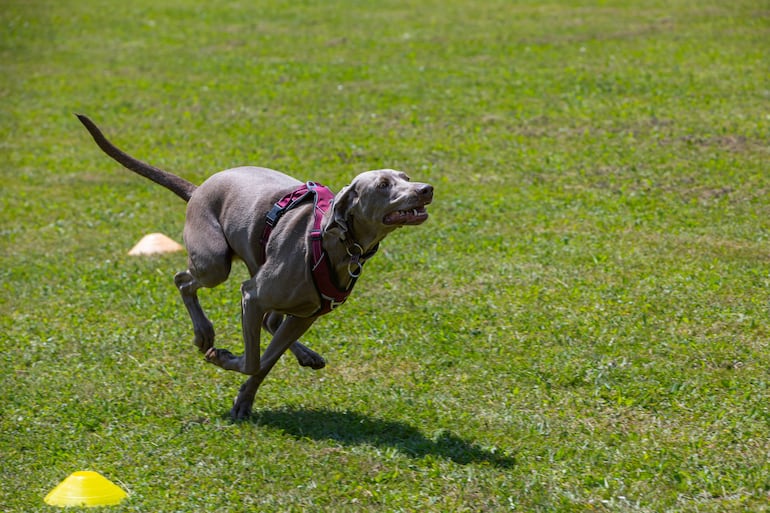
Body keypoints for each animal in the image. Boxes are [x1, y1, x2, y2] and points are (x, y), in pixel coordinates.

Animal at [77, 114, 432, 418]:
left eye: (406, 178)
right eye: (383, 184)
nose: (426, 189)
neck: (337, 243)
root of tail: (198, 189)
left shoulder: (305, 316)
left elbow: (264, 361)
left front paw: (244, 400)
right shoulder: (251, 295)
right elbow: (251, 361)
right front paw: (222, 357)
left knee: (270, 321)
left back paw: (305, 354)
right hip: (214, 262)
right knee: (183, 279)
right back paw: (204, 333)